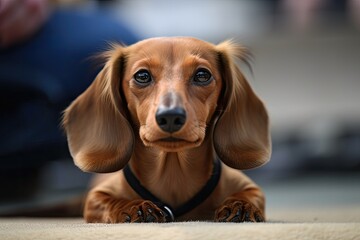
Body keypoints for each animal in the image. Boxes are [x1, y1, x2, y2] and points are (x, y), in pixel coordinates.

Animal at [62, 37, 270, 223]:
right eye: (142, 76)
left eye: (202, 75)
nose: (170, 116)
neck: (172, 173)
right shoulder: (96, 197)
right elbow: (110, 201)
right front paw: (134, 206)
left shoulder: (250, 187)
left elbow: (250, 194)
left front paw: (240, 205)